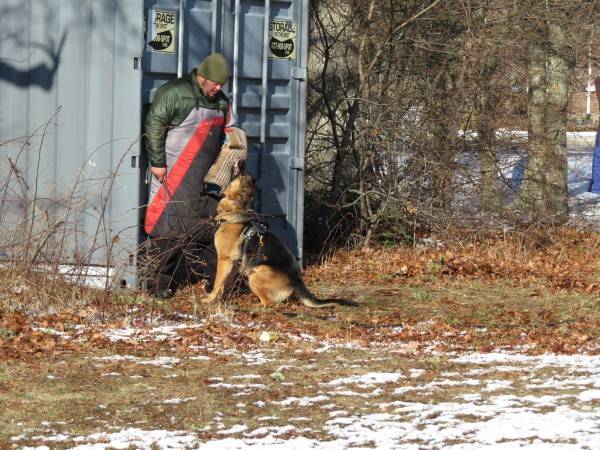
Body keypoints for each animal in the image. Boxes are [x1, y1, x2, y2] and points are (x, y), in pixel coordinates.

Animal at [202, 162, 356, 310]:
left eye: (243, 175)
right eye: (248, 178)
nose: (242, 161)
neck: (235, 211)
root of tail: (297, 282)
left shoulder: (224, 260)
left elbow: (217, 283)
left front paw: (209, 299)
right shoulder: (233, 265)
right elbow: (224, 285)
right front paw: (220, 299)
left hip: (257, 272)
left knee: (269, 302)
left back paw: (253, 305)